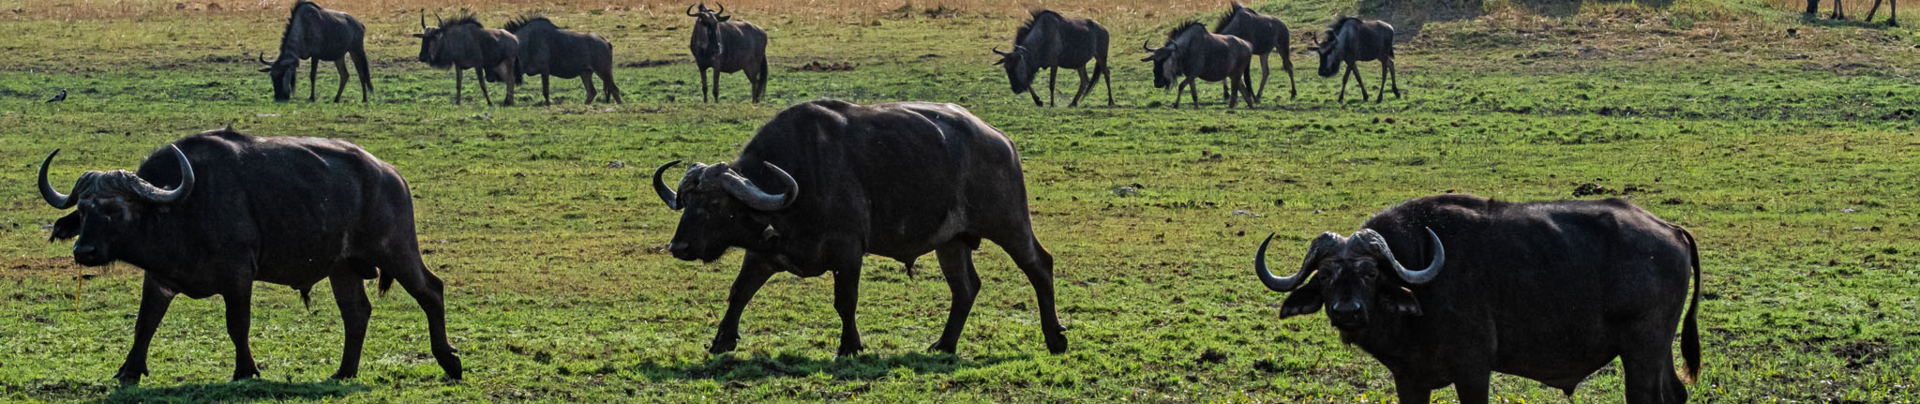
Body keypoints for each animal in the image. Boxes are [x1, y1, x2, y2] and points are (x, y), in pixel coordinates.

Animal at [36, 127, 462, 384]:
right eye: (84, 210)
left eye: (114, 209)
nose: (84, 251)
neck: (182, 208)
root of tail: (389, 174)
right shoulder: (159, 279)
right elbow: (145, 324)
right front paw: (129, 369)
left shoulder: (238, 274)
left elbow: (237, 325)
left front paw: (246, 370)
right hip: (343, 267)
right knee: (356, 313)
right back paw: (344, 372)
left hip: (396, 249)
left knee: (431, 291)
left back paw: (450, 360)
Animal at [650, 99, 1067, 356]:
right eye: (687, 203)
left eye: (715, 205)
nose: (679, 247)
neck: (799, 185)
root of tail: (1001, 141)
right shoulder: (762, 254)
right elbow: (738, 293)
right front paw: (722, 340)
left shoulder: (848, 252)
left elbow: (844, 301)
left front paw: (850, 346)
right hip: (951, 242)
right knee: (965, 288)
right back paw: (945, 344)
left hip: (1009, 222)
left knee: (1039, 265)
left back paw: (1055, 338)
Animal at [1253, 194, 1701, 403]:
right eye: (1327, 275)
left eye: (1369, 272)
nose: (1347, 311)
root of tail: (1671, 229)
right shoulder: (1409, 379)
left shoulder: (1473, 370)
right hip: (1658, 348)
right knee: (1675, 394)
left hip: (1641, 349)